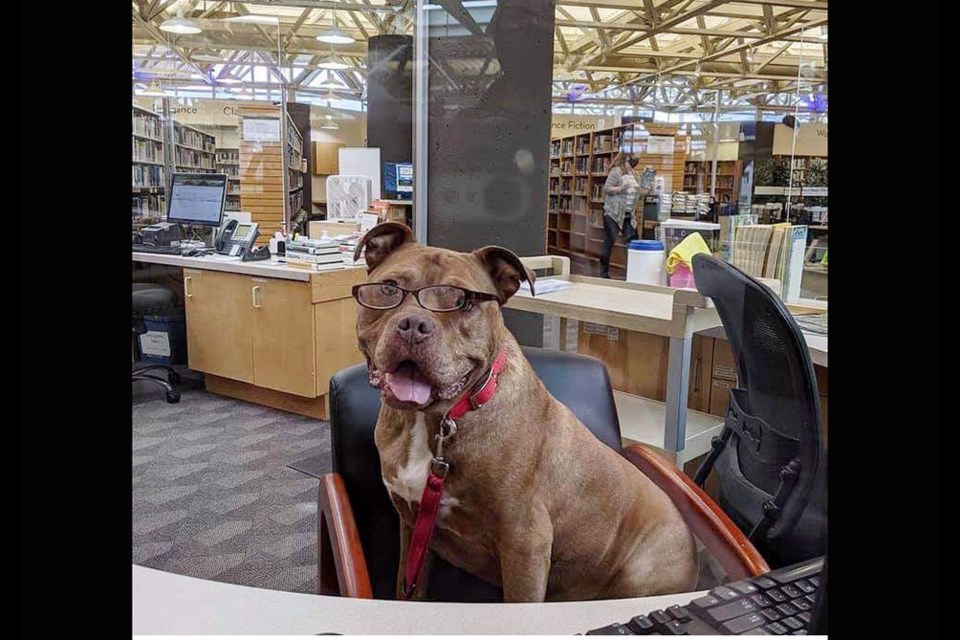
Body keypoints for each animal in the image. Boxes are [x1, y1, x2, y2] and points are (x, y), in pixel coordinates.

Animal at [352, 222, 696, 604]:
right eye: (389, 288)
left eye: (462, 301)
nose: (413, 324)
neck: (437, 422)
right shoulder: (414, 527)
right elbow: (408, 589)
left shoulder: (524, 541)